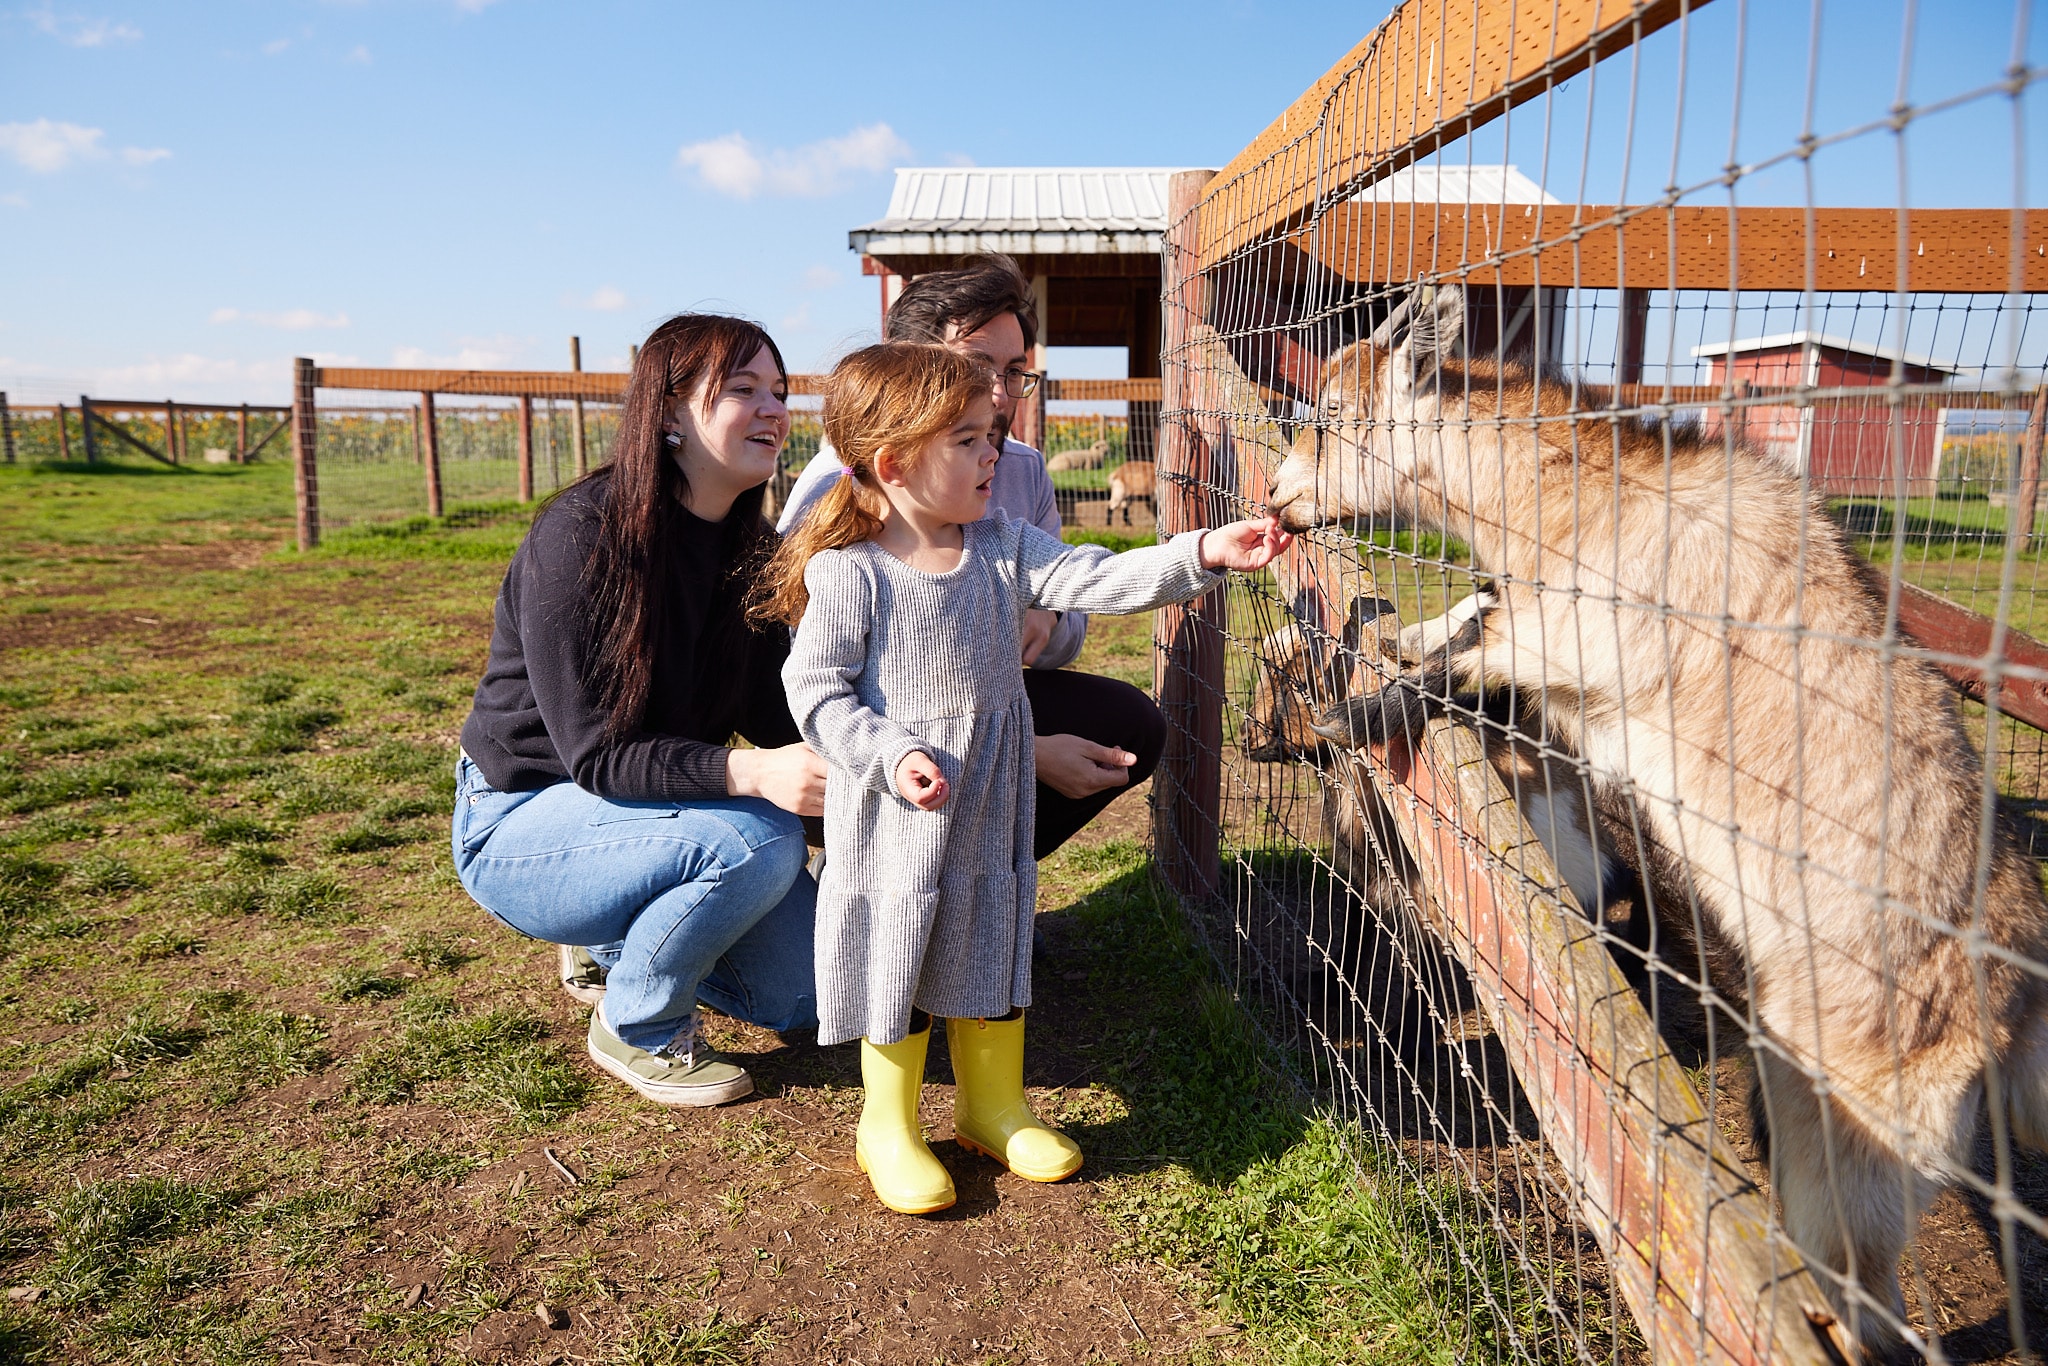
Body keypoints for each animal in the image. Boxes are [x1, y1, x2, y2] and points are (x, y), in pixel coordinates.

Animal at [1266, 285, 2048, 1353]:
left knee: (1871, 1306)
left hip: (1863, 1133)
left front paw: (1369, 707)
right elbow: (1468, 621)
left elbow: (1485, 648)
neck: (1588, 501)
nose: (1274, 499)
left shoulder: (1599, 639)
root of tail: (2018, 1002)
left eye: (1336, 416)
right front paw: (1392, 642)